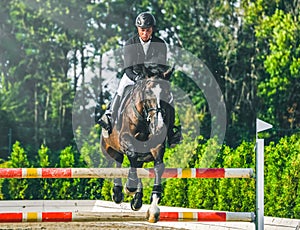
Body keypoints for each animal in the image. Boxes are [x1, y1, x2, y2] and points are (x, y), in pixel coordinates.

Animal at [99, 66, 173, 223]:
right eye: (148, 92)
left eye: (166, 93)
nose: (159, 126)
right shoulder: (125, 139)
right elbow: (132, 155)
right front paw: (129, 187)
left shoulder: (157, 146)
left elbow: (158, 167)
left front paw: (154, 210)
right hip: (111, 149)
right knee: (119, 162)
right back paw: (118, 193)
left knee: (137, 164)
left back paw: (137, 200)